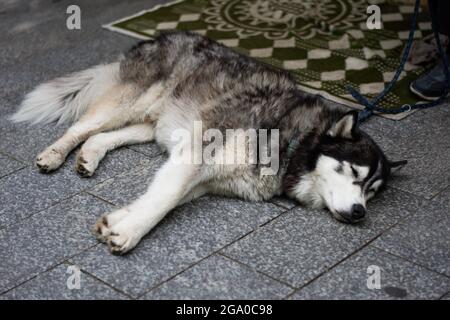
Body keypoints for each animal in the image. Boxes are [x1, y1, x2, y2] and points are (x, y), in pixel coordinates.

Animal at [10, 31, 406, 254]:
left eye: (373, 193)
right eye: (353, 172)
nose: (360, 212)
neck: (293, 140)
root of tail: (165, 37)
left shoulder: (203, 175)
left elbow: (163, 197)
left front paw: (119, 220)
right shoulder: (195, 156)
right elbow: (164, 197)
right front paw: (130, 232)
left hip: (155, 124)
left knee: (102, 136)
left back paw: (89, 156)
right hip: (129, 103)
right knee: (81, 127)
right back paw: (55, 154)